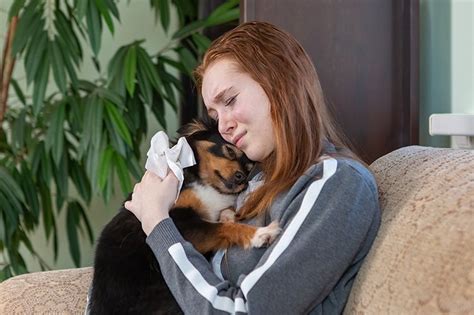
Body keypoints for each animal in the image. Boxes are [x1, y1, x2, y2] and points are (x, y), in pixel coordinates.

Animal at [88, 119, 280, 314]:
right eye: (230, 151)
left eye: (249, 169)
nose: (241, 178)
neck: (205, 183)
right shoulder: (181, 223)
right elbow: (225, 227)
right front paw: (260, 234)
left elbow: (225, 216)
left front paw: (230, 215)